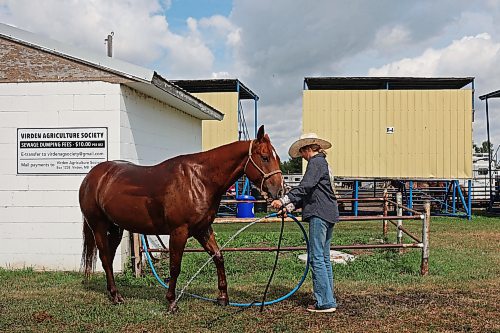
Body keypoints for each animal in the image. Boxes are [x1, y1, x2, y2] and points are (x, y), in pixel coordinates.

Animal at [80, 126, 284, 310]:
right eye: (265, 157)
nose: (279, 191)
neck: (200, 179)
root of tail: (92, 176)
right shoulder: (179, 231)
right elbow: (175, 266)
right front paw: (171, 301)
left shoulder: (203, 229)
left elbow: (218, 257)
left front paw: (223, 298)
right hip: (98, 226)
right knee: (105, 257)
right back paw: (116, 296)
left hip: (115, 227)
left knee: (109, 258)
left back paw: (113, 293)